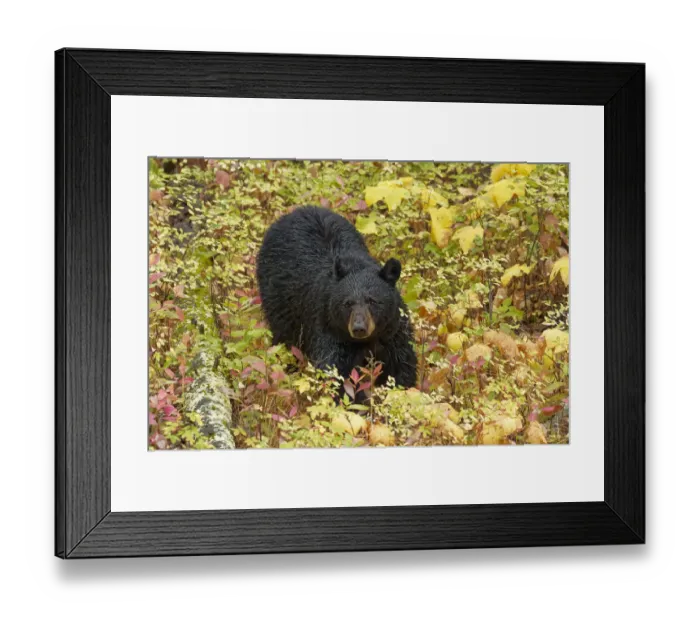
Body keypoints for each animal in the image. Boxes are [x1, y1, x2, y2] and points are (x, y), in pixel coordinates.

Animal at [256, 205, 417, 395]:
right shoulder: (328, 326)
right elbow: (336, 370)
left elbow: (402, 364)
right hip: (280, 300)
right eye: (347, 303)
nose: (359, 328)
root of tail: (297, 211)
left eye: (373, 301)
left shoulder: (393, 330)